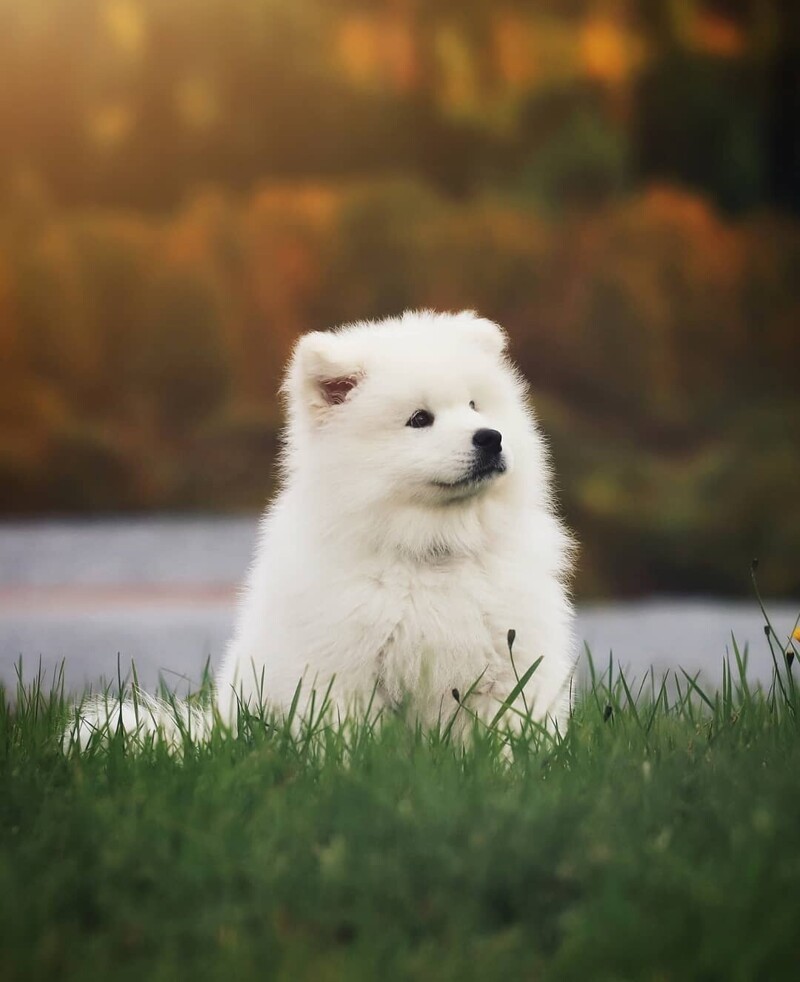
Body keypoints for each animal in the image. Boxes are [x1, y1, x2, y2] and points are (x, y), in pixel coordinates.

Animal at [72, 312, 576, 748]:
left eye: (475, 406)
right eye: (419, 419)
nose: (490, 437)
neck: (433, 550)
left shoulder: (511, 666)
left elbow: (505, 741)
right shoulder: (345, 672)